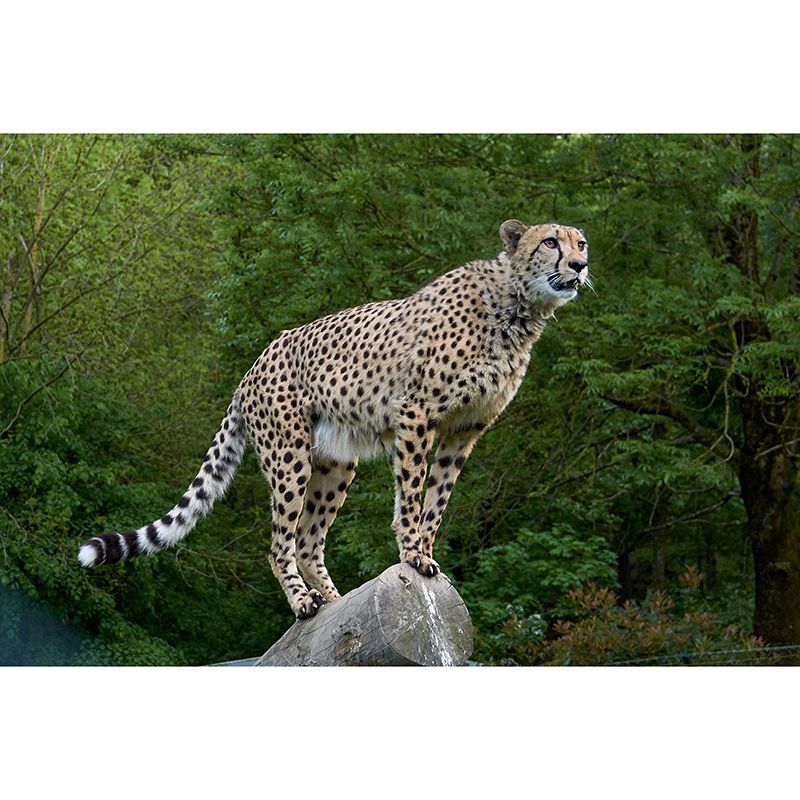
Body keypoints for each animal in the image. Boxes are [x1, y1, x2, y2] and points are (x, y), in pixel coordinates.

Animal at [78, 220, 590, 619]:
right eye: (551, 242)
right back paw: (303, 602)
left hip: (336, 462)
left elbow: (437, 499)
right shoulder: (417, 413)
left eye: (581, 243)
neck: (516, 307)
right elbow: (412, 493)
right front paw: (412, 552)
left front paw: (425, 552)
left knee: (308, 539)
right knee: (279, 543)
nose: (580, 267)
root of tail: (252, 366)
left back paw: (334, 599)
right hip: (289, 455)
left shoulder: (464, 430)